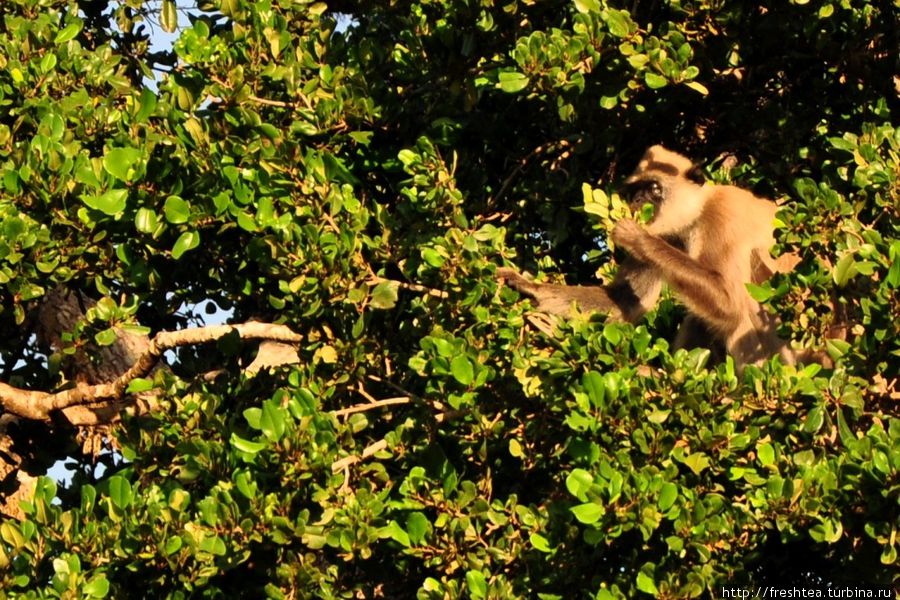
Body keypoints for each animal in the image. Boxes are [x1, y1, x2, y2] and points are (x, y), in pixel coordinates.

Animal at [500, 146, 816, 370]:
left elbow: (729, 300)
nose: (638, 202)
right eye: (635, 191)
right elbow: (624, 301)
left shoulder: (723, 214)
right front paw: (528, 287)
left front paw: (637, 238)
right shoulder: (670, 234)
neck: (696, 214)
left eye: (653, 188)